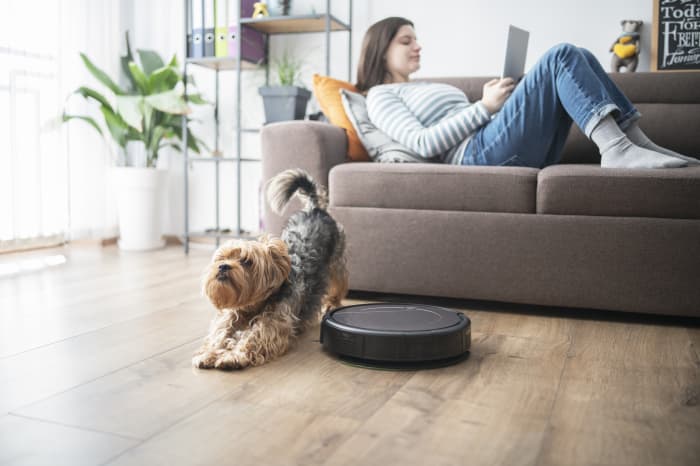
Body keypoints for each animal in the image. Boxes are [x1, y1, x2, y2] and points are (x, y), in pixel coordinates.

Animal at [191, 169, 348, 370]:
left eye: (247, 261)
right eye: (222, 258)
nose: (223, 266)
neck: (251, 306)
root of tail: (314, 209)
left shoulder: (275, 322)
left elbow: (255, 336)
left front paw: (232, 356)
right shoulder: (229, 316)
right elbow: (219, 333)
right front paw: (209, 352)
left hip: (336, 261)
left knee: (339, 282)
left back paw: (332, 302)